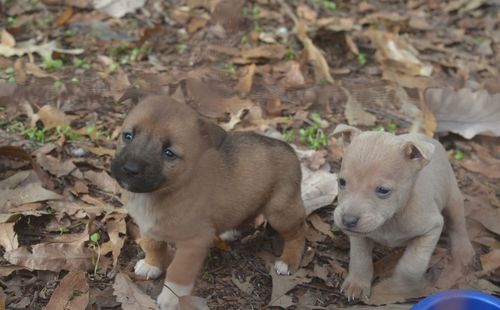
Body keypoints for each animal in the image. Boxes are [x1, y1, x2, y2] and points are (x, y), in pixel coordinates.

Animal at [111, 95, 304, 308]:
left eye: (169, 153)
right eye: (128, 136)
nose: (130, 169)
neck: (164, 192)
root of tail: (289, 149)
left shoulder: (193, 243)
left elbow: (179, 272)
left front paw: (172, 298)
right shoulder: (147, 226)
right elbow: (152, 245)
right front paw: (152, 264)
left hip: (281, 212)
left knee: (298, 233)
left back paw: (288, 260)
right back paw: (232, 231)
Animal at [332, 124, 472, 302]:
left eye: (383, 190)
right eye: (341, 182)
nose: (348, 220)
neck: (392, 219)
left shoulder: (432, 229)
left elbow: (412, 265)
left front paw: (399, 287)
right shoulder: (359, 235)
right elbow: (360, 257)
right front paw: (357, 283)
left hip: (453, 199)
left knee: (458, 225)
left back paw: (463, 251)